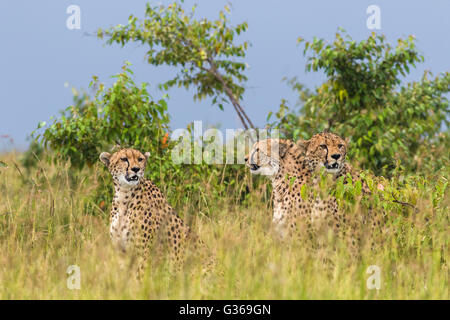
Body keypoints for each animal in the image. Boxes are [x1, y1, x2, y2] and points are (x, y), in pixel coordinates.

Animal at [100, 148, 211, 276]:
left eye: (140, 159)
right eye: (124, 159)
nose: (136, 169)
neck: (124, 194)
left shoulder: (147, 252)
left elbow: (141, 276)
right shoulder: (121, 252)